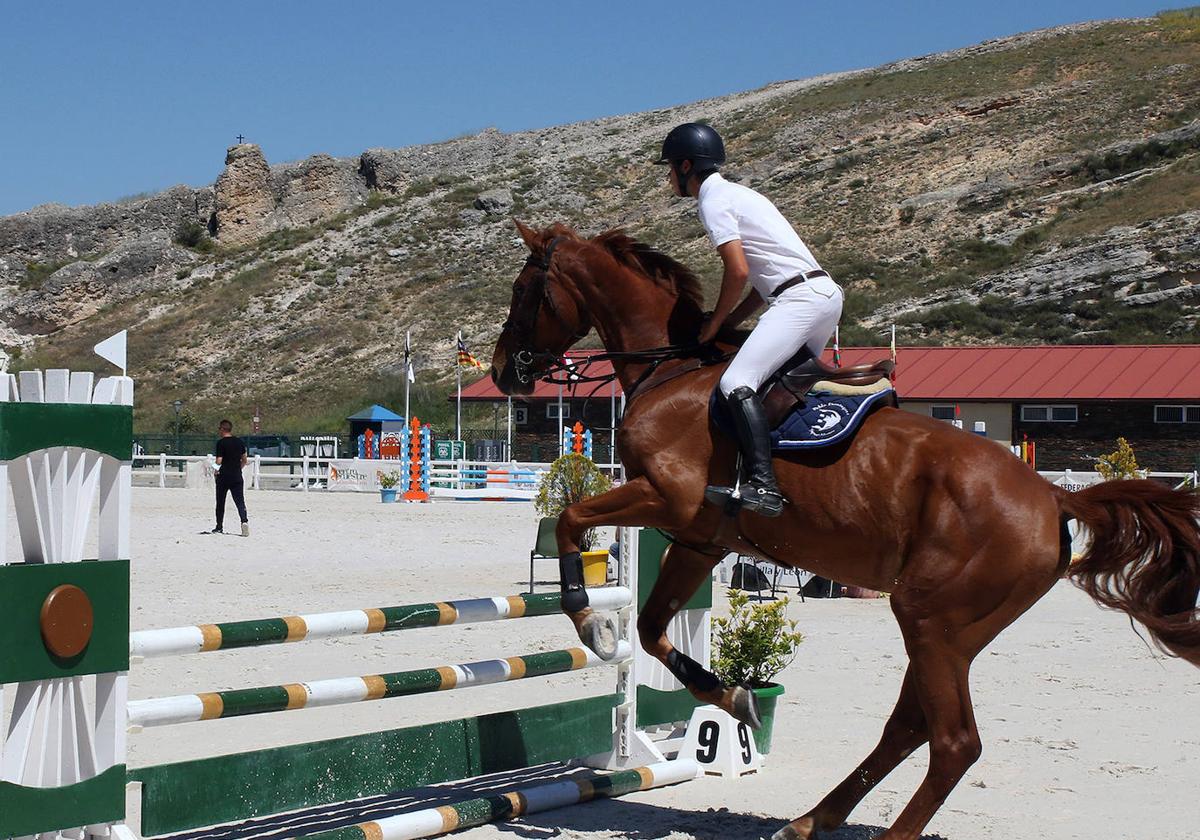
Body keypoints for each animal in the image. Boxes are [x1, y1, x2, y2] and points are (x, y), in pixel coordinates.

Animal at [489, 223, 1200, 840]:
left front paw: (587, 618)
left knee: (952, 742)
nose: (502, 372)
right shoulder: (699, 538)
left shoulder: (665, 499)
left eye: (525, 288)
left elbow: (572, 521)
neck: (674, 371)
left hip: (931, 620)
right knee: (909, 728)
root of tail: (1052, 497)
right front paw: (735, 698)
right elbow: (650, 627)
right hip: (951, 631)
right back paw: (810, 819)